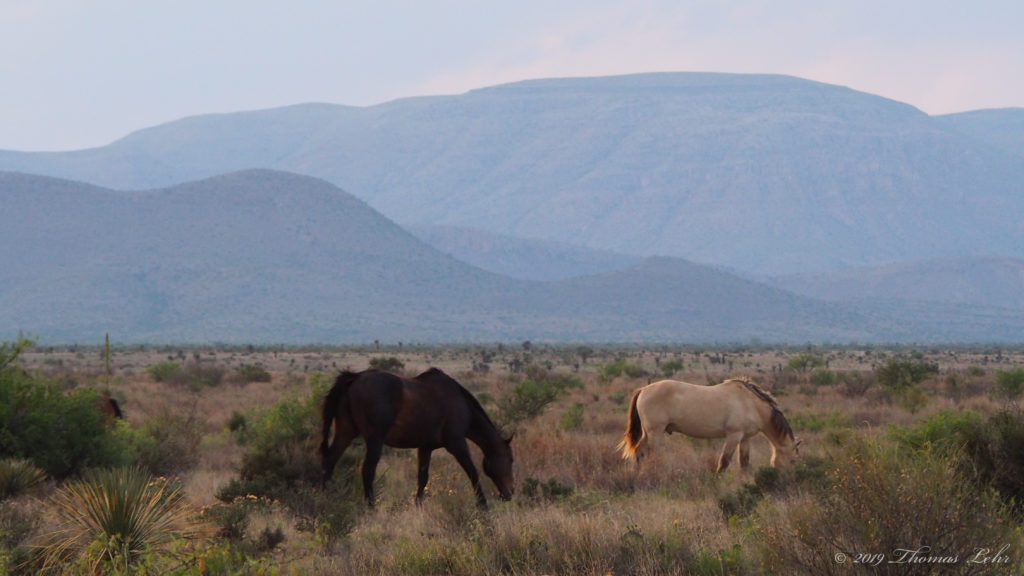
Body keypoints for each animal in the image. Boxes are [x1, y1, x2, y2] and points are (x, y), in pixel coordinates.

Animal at [319, 367, 514, 509]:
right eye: (510, 460)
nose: (510, 493)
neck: (460, 404)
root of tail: (355, 377)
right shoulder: (457, 444)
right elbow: (473, 472)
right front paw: (483, 505)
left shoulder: (425, 447)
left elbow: (423, 477)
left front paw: (418, 505)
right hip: (375, 440)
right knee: (367, 470)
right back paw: (370, 507)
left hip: (345, 433)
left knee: (330, 462)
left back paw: (325, 499)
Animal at [618, 377, 801, 472]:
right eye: (792, 461)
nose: (789, 478)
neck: (750, 403)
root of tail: (643, 389)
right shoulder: (733, 436)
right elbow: (724, 462)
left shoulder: (745, 438)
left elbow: (744, 463)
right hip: (655, 432)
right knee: (650, 454)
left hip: (648, 433)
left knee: (639, 452)